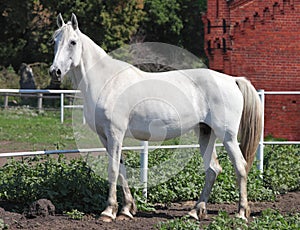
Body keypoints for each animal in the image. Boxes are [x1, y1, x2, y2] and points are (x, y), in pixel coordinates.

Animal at [49, 13, 262, 222]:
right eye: (55, 40)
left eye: (73, 42)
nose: (55, 71)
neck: (108, 81)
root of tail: (233, 80)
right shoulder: (105, 136)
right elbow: (121, 170)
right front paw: (126, 210)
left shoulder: (115, 134)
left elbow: (113, 170)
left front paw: (108, 212)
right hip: (205, 133)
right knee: (212, 170)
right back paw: (195, 212)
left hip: (227, 136)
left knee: (240, 167)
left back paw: (241, 213)